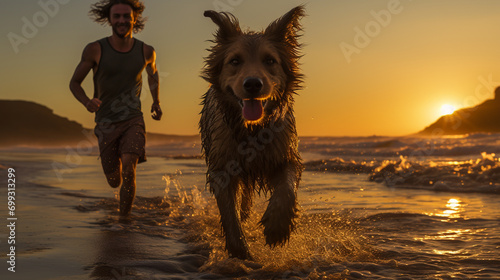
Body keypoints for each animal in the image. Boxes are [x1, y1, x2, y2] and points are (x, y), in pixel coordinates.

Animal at [199, 5, 304, 260]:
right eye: (235, 61)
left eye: (270, 60)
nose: (253, 84)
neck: (252, 130)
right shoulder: (222, 165)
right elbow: (229, 213)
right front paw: (240, 250)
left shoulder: (284, 152)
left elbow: (287, 187)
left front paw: (277, 227)